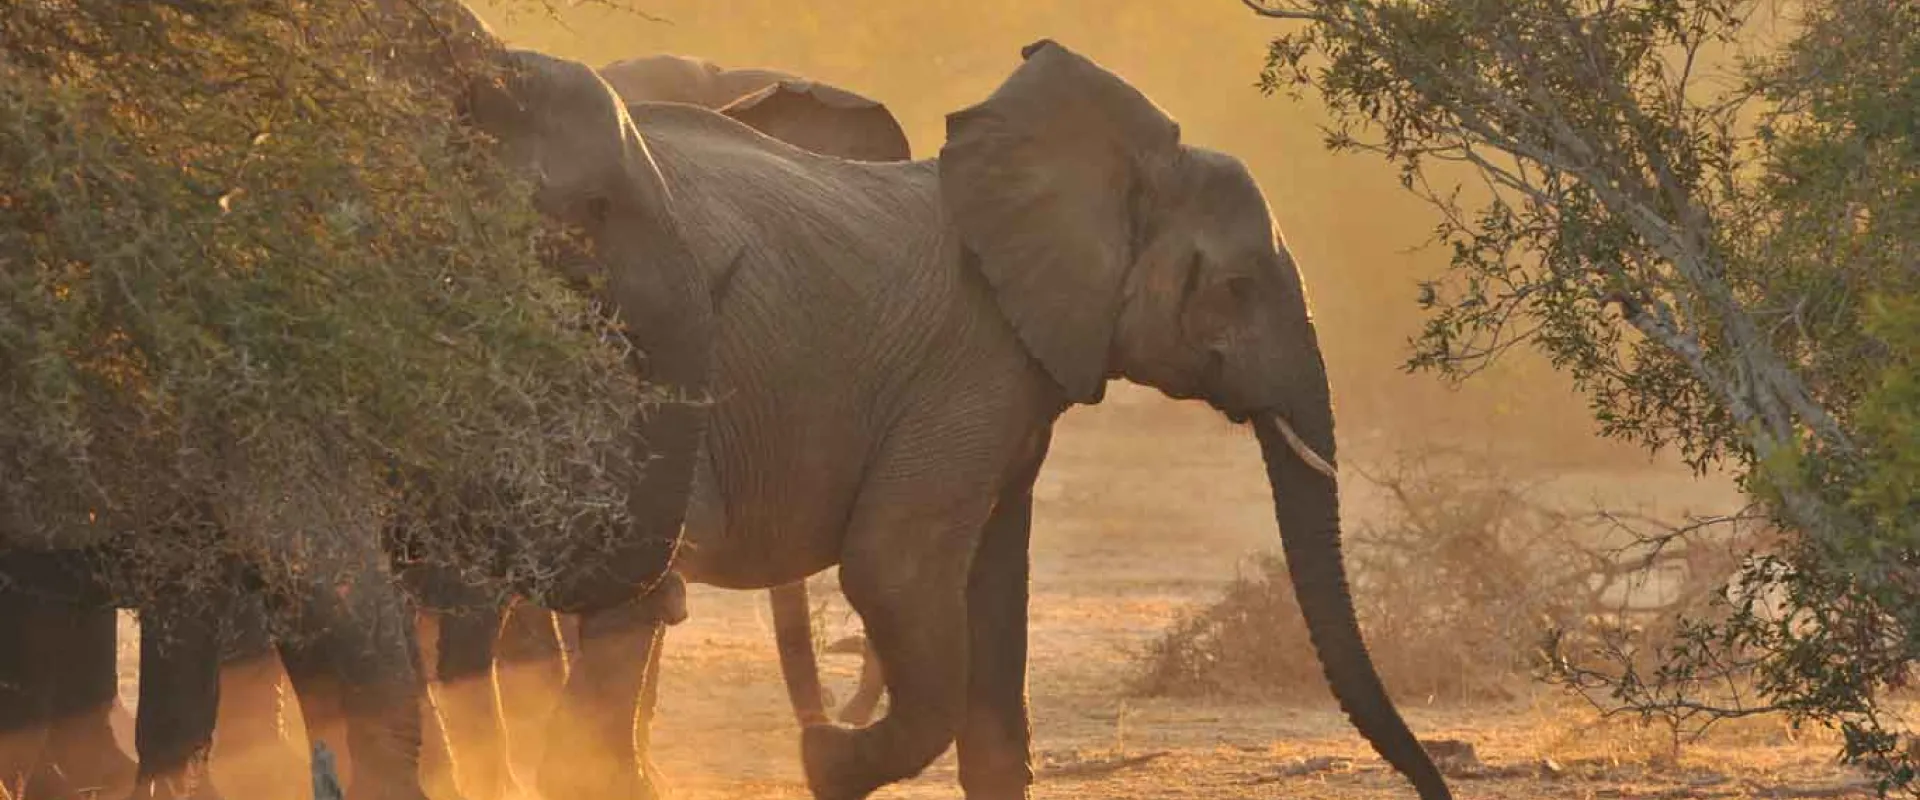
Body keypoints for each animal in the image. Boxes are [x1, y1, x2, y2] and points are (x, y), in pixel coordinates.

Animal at [464, 37, 1453, 800]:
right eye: (1238, 287)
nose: (1436, 785)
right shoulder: (970, 365)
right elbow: (896, 567)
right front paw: (826, 761)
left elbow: (995, 583)